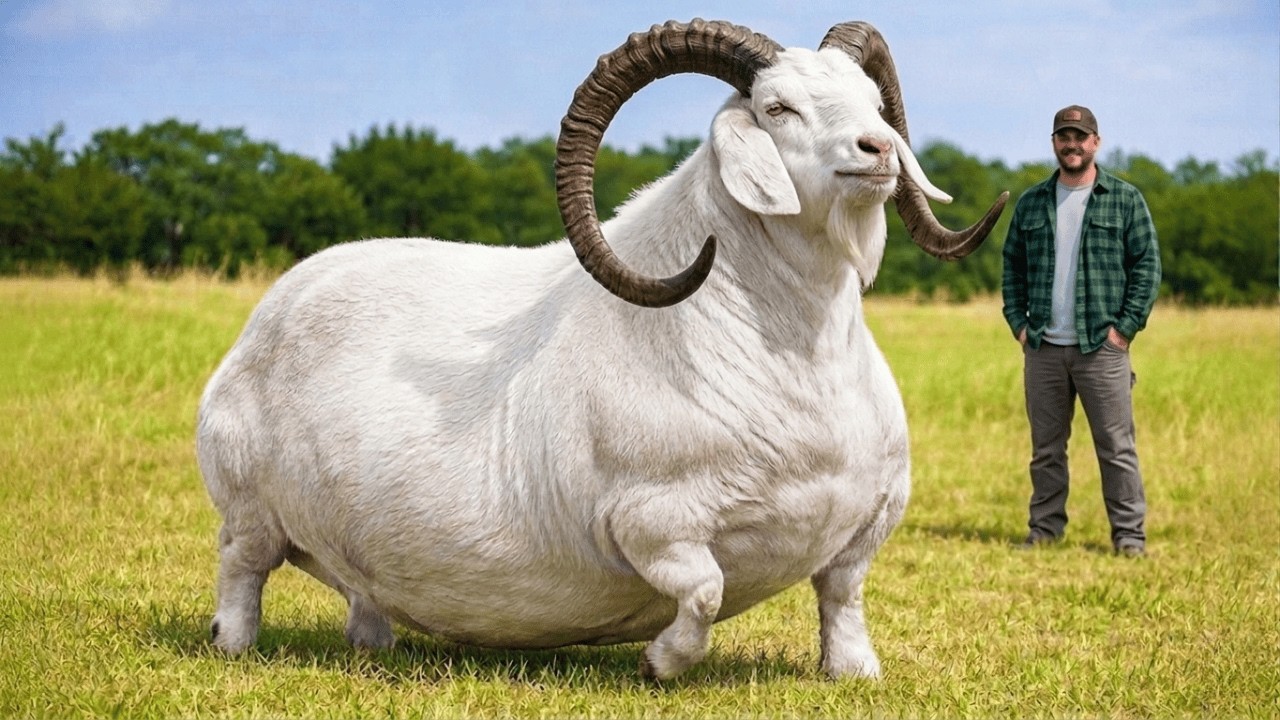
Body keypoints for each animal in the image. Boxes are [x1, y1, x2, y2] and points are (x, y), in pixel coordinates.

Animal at [196, 19, 1007, 680]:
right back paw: (233, 644)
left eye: (872, 99)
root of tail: (279, 302)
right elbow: (704, 592)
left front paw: (853, 671)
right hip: (248, 513)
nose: (880, 151)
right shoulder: (651, 526)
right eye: (778, 108)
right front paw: (660, 663)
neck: (790, 361)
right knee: (241, 568)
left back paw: (372, 642)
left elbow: (843, 595)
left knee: (362, 599)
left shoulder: (867, 526)